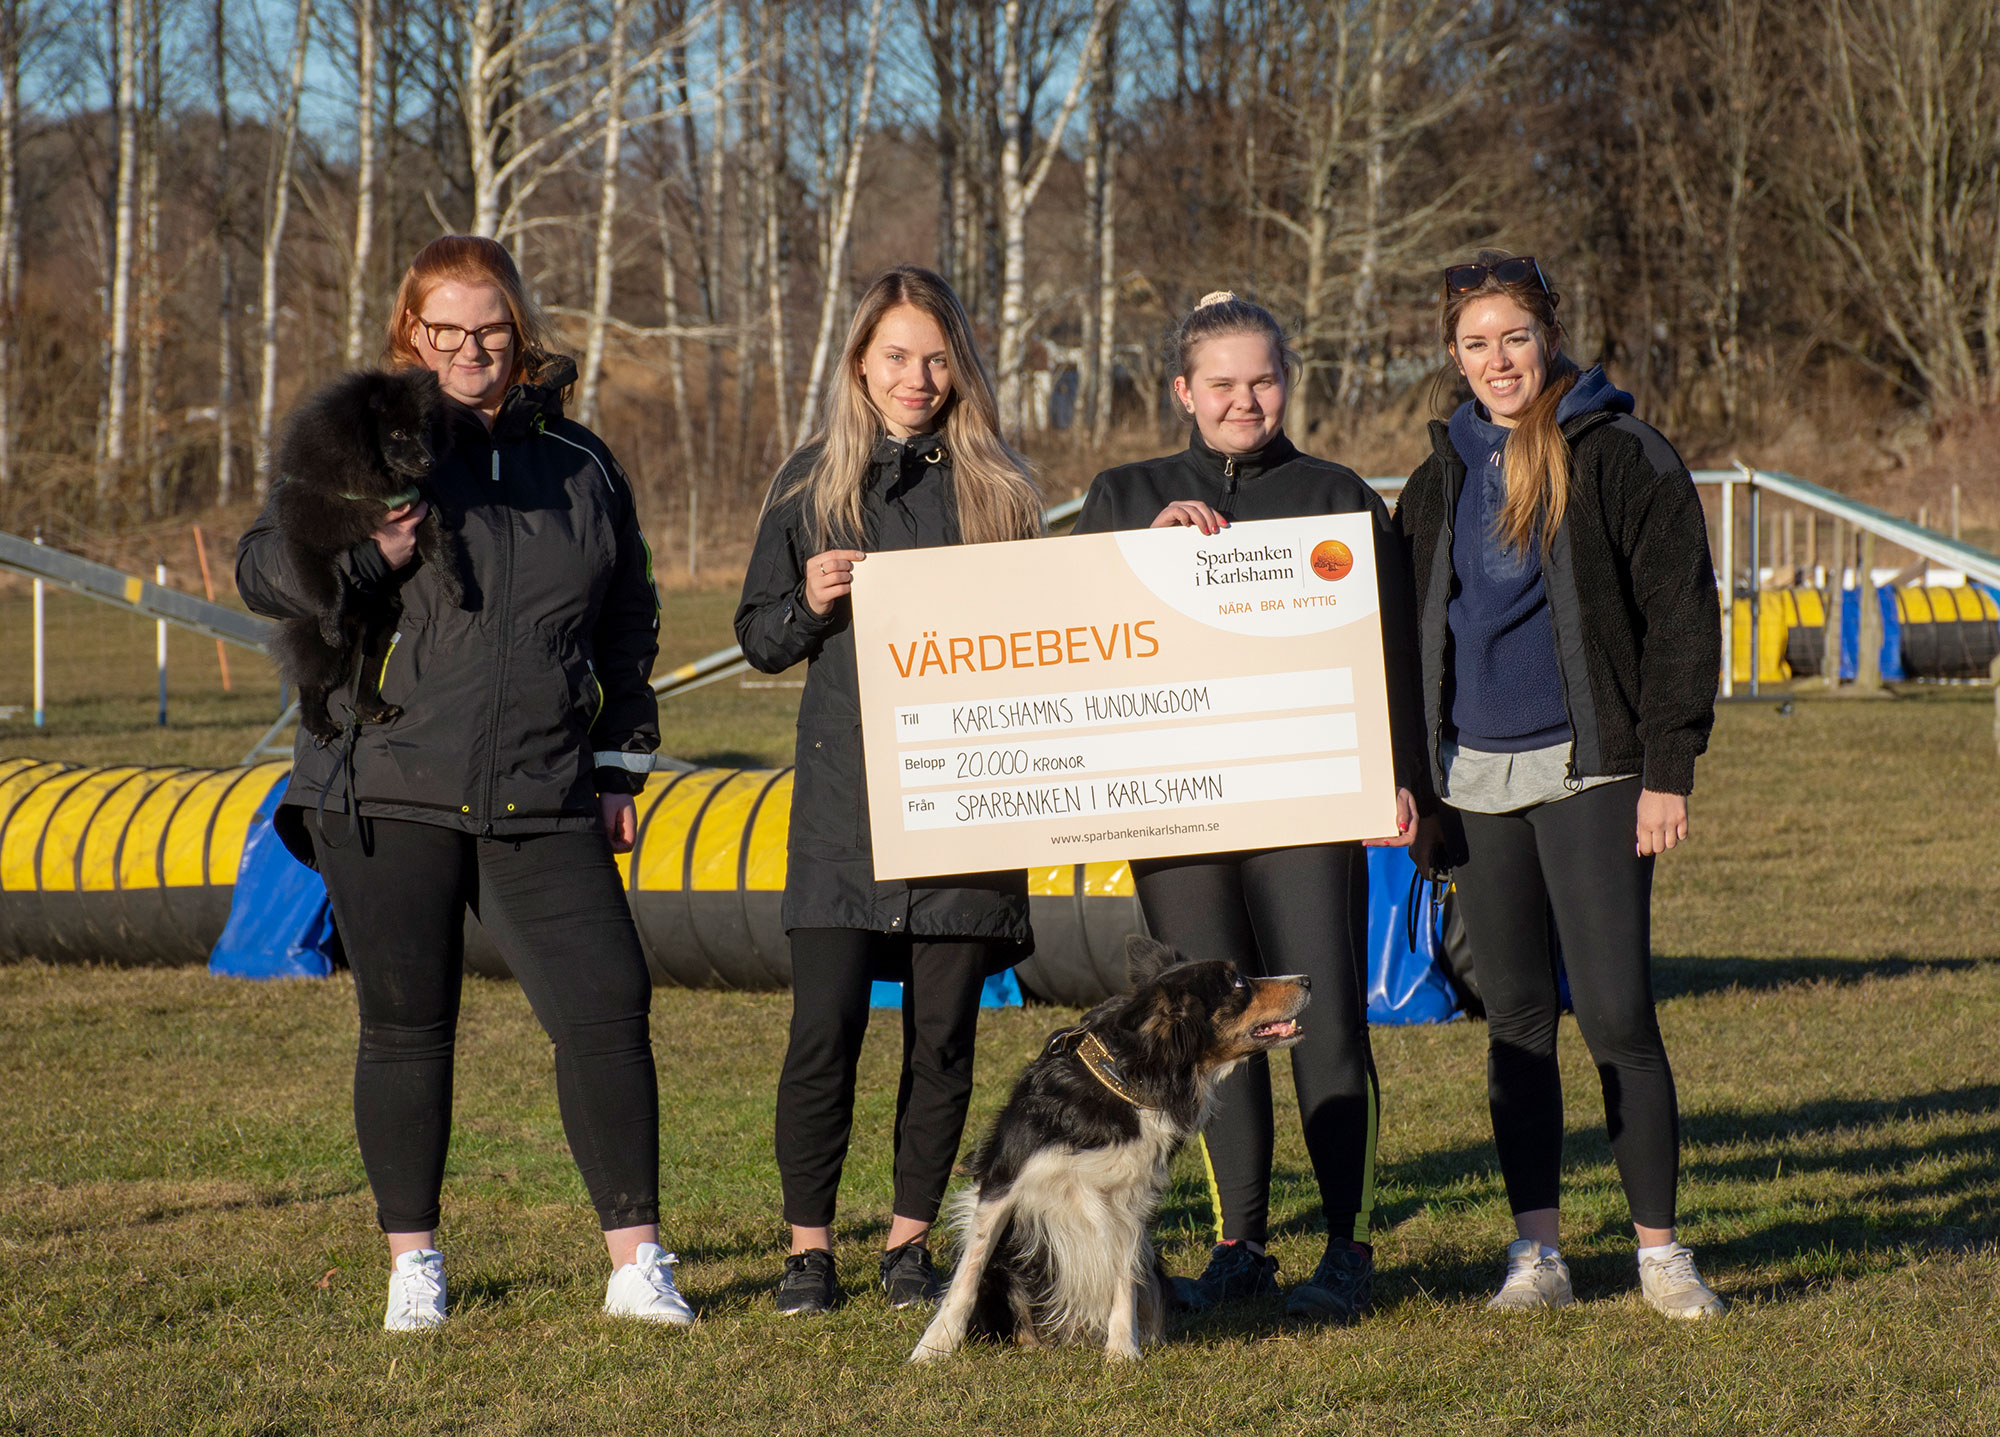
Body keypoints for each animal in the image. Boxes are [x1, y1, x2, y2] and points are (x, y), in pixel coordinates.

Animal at [266, 366, 460, 748]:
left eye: (425, 429)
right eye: (397, 433)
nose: (428, 460)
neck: (372, 482)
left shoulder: (416, 510)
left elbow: (437, 546)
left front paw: (454, 587)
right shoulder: (310, 538)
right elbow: (331, 585)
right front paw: (331, 623)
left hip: (380, 630)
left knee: (367, 676)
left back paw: (374, 710)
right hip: (324, 650)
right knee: (312, 685)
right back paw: (320, 724)